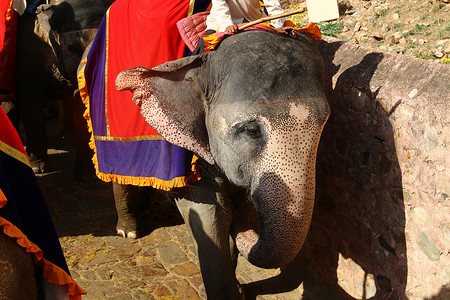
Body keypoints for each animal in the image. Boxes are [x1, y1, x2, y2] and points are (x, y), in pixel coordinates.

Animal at [114, 29, 328, 298]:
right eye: (250, 130)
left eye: (323, 125)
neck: (201, 61)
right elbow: (210, 214)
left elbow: (235, 209)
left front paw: (239, 289)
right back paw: (128, 231)